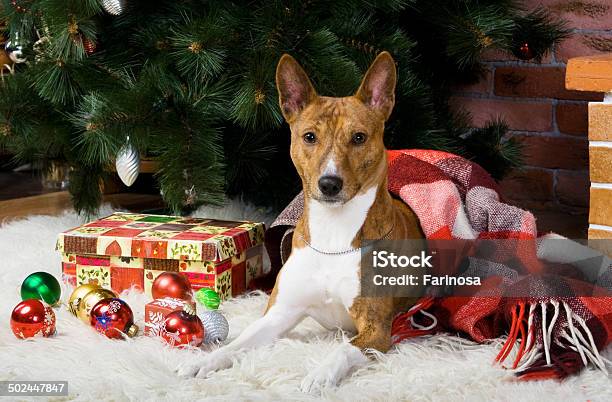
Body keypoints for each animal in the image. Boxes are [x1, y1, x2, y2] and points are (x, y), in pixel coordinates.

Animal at [177, 51, 424, 392]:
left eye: (359, 138)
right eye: (309, 137)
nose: (329, 184)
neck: (335, 236)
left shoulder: (376, 329)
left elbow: (341, 351)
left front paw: (318, 374)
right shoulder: (278, 314)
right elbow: (238, 343)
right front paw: (204, 361)